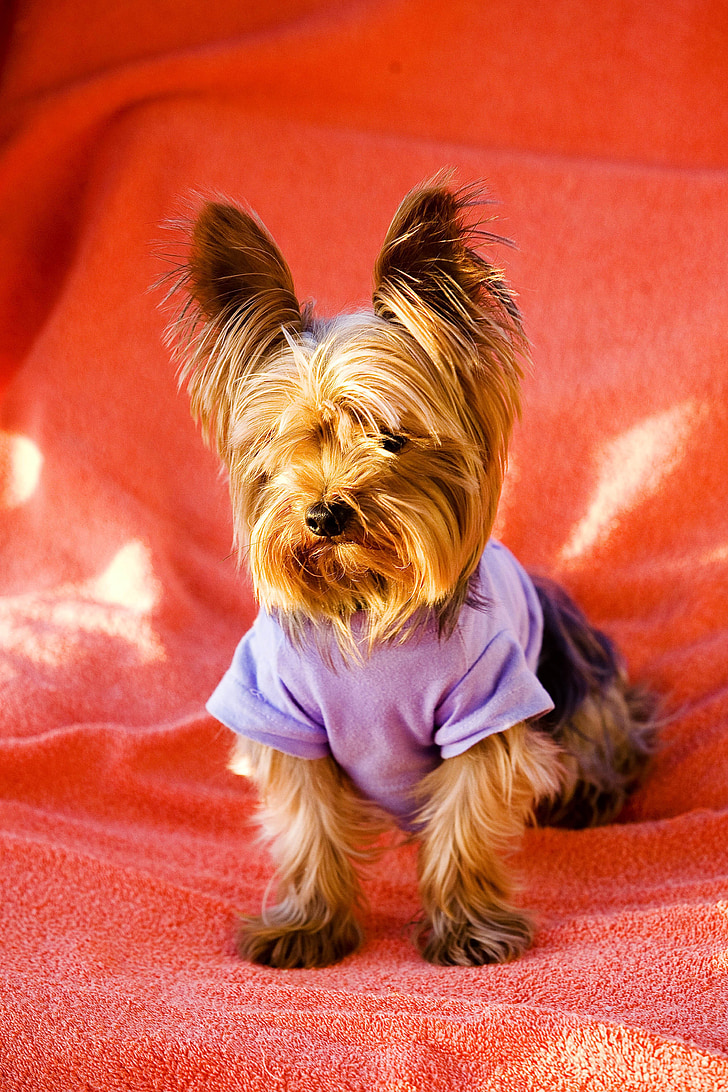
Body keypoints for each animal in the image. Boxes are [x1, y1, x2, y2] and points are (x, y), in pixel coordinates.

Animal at [164, 174, 654, 969]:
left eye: (390, 438)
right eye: (289, 442)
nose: (324, 514)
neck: (367, 600)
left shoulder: (487, 702)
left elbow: (465, 818)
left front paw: (467, 928)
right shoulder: (280, 711)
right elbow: (307, 824)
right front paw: (308, 926)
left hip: (584, 690)